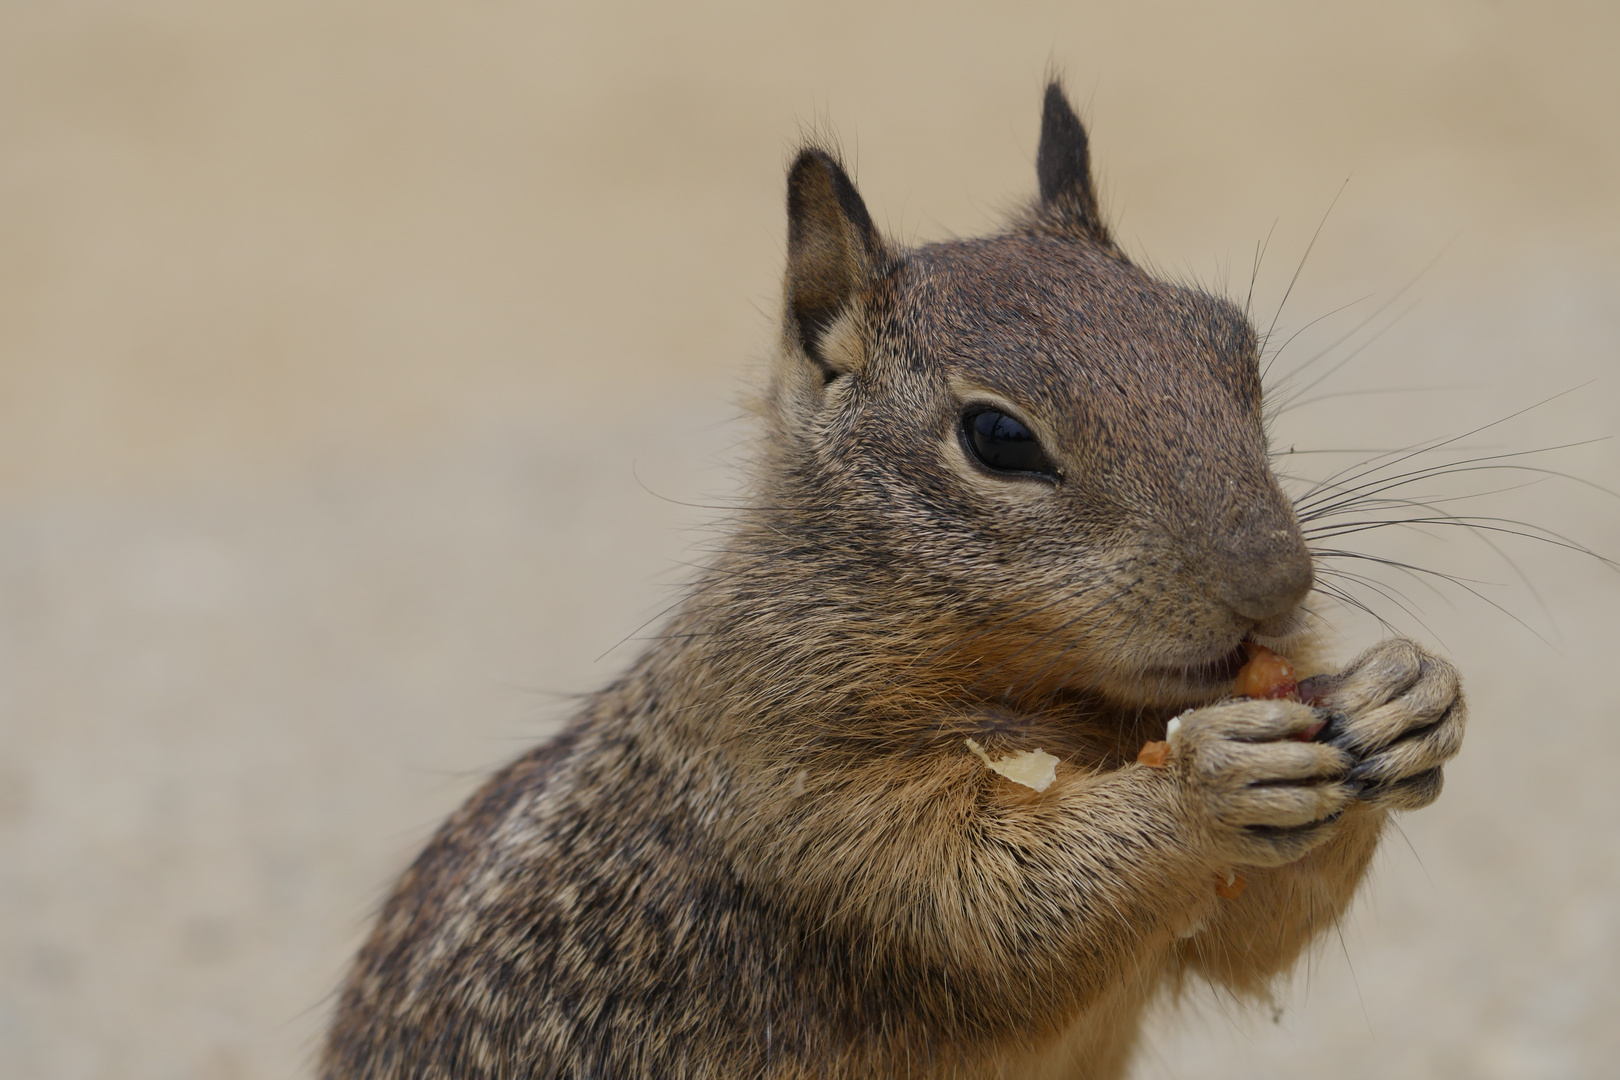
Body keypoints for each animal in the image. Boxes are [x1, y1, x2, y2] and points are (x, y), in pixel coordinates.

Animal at [319, 84, 1470, 1080]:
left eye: (1236, 346)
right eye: (998, 438)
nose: (1279, 585)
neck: (1067, 704)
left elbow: (1255, 934)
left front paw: (1409, 696)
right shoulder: (800, 802)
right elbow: (994, 912)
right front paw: (1208, 781)